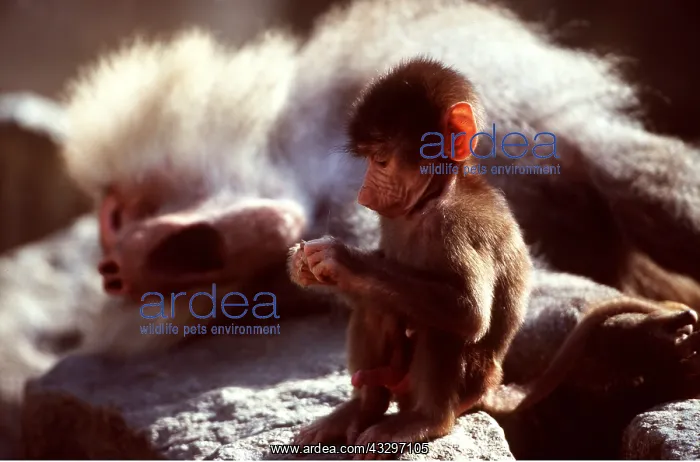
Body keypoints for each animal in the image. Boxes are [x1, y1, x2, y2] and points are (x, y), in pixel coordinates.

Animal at [287, 58, 532, 452]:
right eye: (369, 160)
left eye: (381, 160)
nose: (362, 195)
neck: (430, 200)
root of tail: (491, 387)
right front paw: (303, 264)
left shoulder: (459, 226)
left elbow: (469, 311)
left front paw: (342, 259)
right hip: (394, 378)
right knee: (377, 303)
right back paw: (362, 408)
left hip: (469, 383)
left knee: (446, 327)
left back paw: (425, 420)